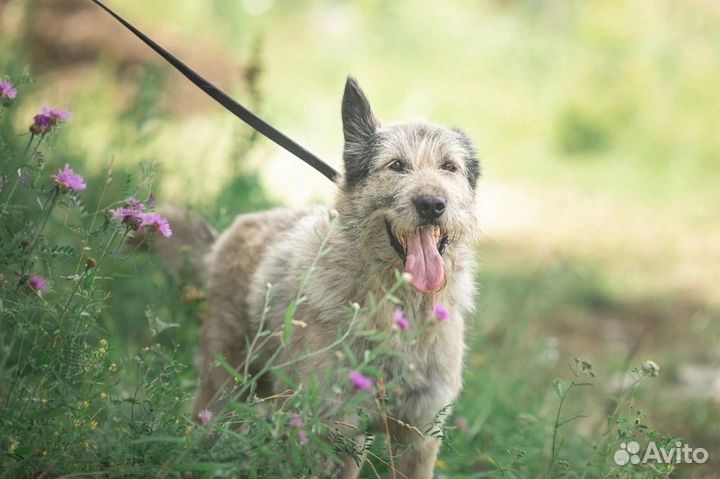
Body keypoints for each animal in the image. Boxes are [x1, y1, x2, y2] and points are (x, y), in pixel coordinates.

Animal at [169, 77, 478, 478]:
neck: (398, 310)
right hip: (227, 385)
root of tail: (231, 232)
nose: (432, 205)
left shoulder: (420, 435)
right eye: (396, 165)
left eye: (448, 167)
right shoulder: (336, 429)